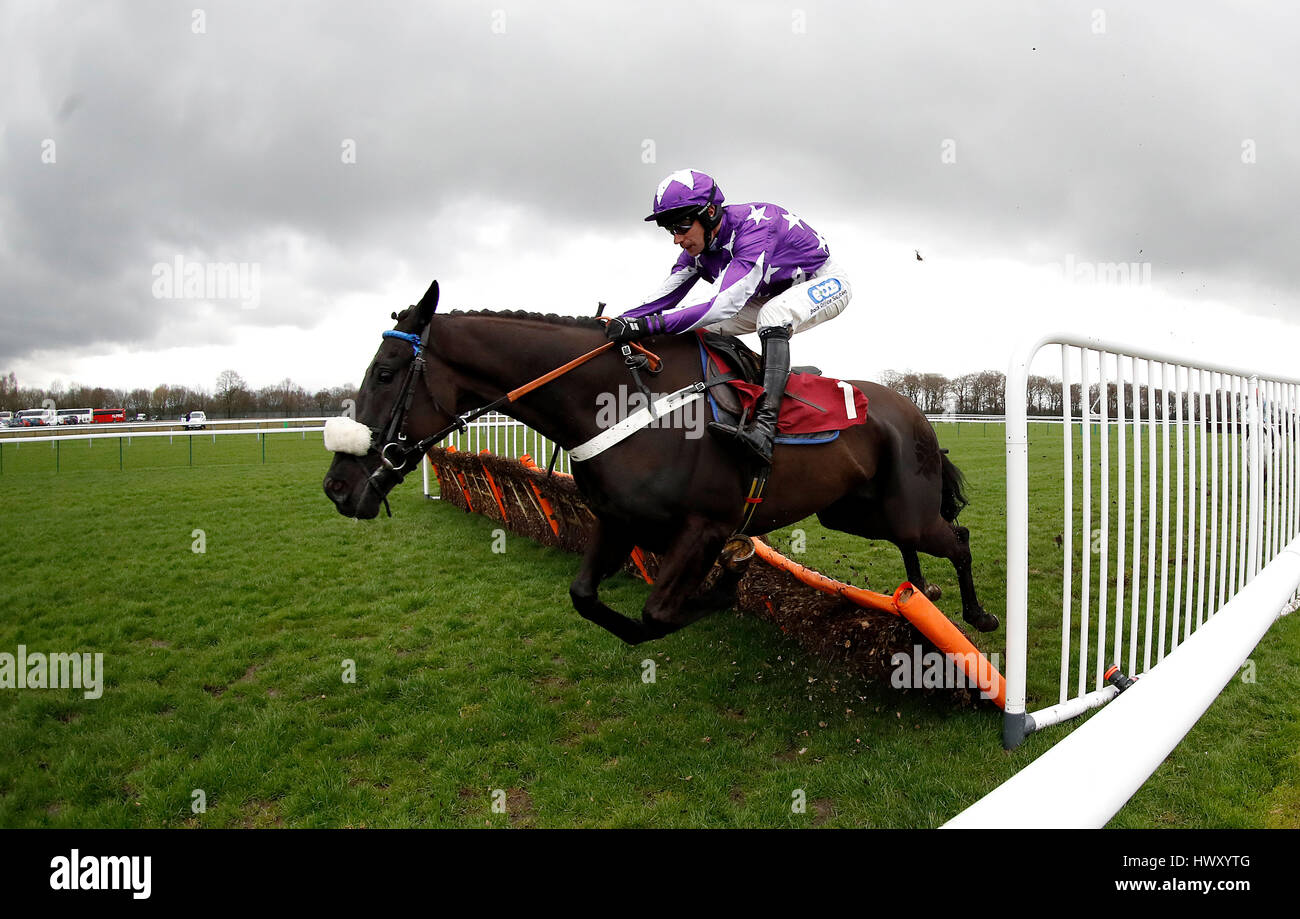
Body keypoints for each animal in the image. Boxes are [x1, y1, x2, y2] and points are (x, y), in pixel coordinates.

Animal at [322, 280, 993, 647]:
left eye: (385, 373)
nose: (336, 487)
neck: (619, 402)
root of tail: (911, 408)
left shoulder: (704, 528)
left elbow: (657, 611)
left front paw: (727, 583)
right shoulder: (617, 520)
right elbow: (590, 600)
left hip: (902, 507)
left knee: (955, 538)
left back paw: (976, 614)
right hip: (853, 511)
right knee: (917, 542)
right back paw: (920, 592)